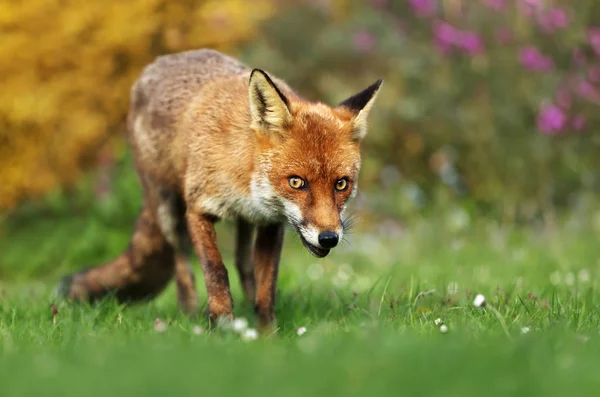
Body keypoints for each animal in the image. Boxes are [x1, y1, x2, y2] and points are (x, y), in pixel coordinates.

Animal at [59, 48, 380, 330]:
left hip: (244, 223)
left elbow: (266, 283)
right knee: (182, 268)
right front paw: (222, 323)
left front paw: (266, 332)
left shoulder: (270, 222)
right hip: (168, 210)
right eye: (296, 182)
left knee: (243, 263)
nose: (329, 238)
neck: (244, 177)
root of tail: (160, 62)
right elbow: (215, 270)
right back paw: (188, 314)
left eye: (341, 184)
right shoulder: (198, 210)